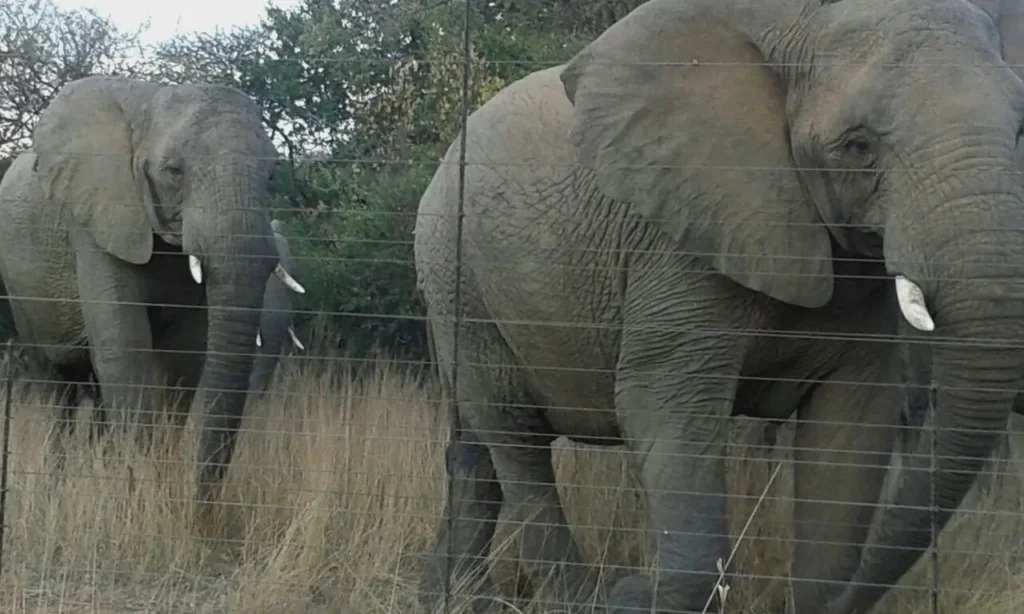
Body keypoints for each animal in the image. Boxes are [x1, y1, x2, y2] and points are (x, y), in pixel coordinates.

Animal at [411, 0, 1024, 612]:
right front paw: (647, 592)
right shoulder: (680, 238)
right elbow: (663, 407)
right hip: (458, 278)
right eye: (858, 145)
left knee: (473, 449)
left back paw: (452, 596)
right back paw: (568, 599)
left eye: (1019, 131)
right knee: (514, 435)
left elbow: (850, 429)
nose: (633, 586)